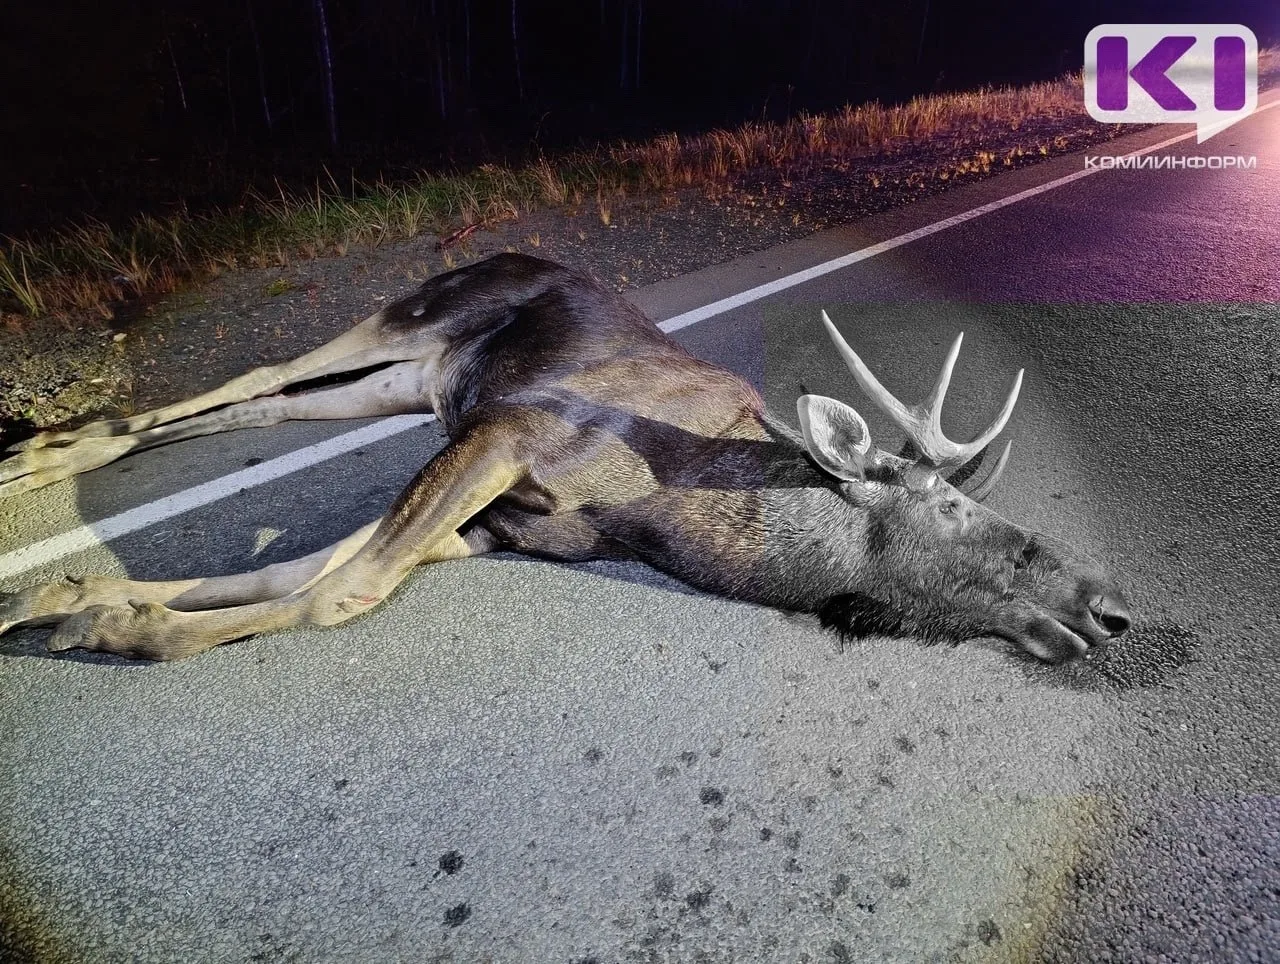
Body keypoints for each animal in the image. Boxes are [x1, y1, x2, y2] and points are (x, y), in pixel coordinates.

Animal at [0, 253, 1132, 663]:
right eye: (955, 509)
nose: (1112, 607)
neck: (670, 518)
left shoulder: (492, 527)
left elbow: (300, 571)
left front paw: (76, 601)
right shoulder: (510, 434)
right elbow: (340, 588)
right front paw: (124, 625)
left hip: (407, 377)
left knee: (273, 401)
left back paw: (53, 453)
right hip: (420, 311)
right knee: (268, 367)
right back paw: (38, 457)